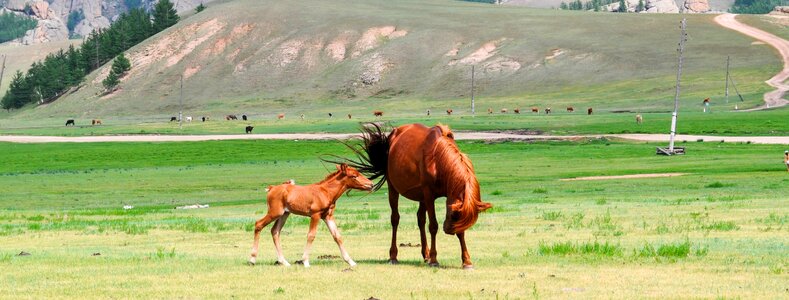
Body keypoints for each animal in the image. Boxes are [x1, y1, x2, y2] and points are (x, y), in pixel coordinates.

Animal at [338, 123, 492, 268]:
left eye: (457, 216)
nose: (448, 230)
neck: (438, 159)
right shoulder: (429, 195)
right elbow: (433, 226)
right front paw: (434, 260)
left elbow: (459, 231)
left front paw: (466, 261)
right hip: (394, 189)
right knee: (395, 219)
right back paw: (393, 256)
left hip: (421, 196)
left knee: (420, 219)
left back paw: (426, 254)